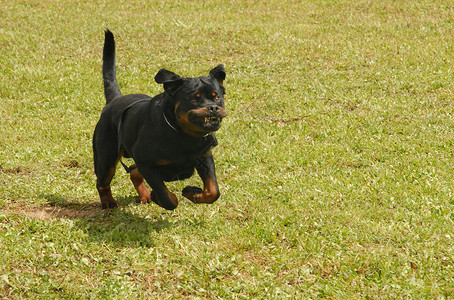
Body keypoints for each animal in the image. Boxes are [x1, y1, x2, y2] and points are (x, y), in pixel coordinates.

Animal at [92, 29, 227, 209]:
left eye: (217, 97)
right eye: (194, 99)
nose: (213, 107)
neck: (183, 135)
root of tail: (114, 100)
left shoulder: (204, 156)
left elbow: (213, 191)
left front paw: (194, 194)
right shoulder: (145, 162)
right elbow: (167, 198)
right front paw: (161, 197)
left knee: (133, 172)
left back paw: (145, 195)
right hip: (106, 156)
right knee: (103, 181)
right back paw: (108, 202)